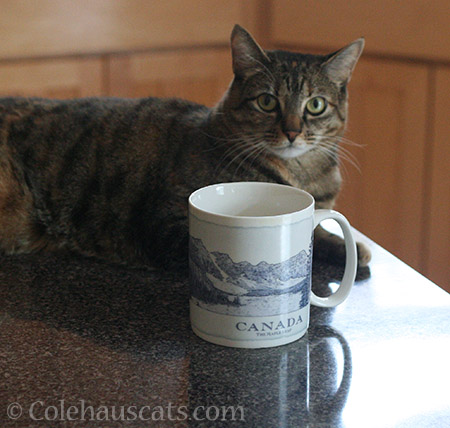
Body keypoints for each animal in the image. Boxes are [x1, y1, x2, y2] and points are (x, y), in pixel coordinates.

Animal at [0, 25, 370, 270]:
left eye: (316, 105)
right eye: (267, 102)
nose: (292, 131)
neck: (301, 176)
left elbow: (318, 229)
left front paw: (350, 248)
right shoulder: (165, 222)